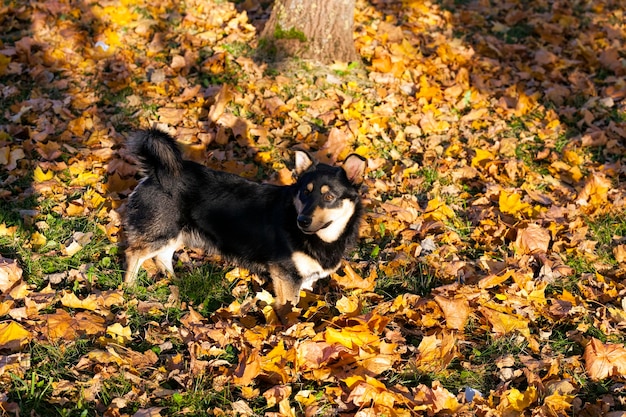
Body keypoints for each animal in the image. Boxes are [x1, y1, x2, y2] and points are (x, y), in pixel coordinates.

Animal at [122, 128, 366, 314]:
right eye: (305, 193)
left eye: (329, 197)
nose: (302, 220)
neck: (322, 238)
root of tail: (154, 171)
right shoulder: (286, 275)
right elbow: (290, 307)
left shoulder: (304, 279)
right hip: (163, 231)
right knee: (134, 253)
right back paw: (129, 289)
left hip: (175, 233)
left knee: (162, 257)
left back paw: (176, 283)